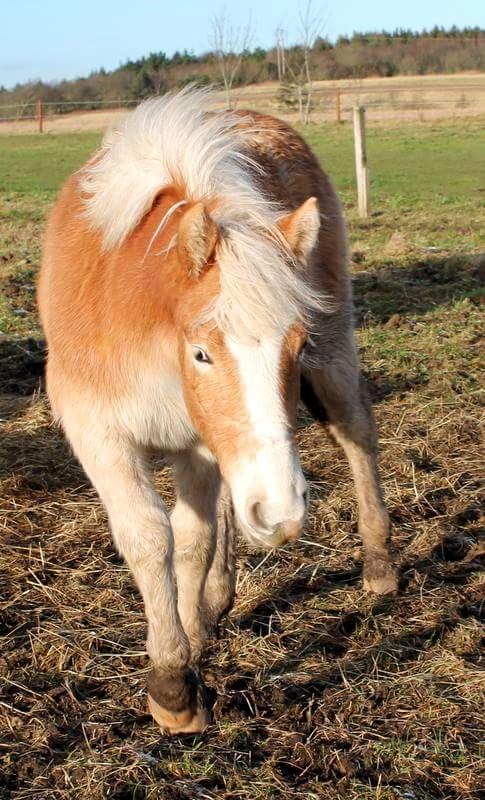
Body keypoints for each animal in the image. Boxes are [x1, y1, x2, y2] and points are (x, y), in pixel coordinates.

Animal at [36, 90, 394, 736]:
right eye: (202, 353)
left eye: (296, 345)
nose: (282, 512)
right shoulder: (101, 434)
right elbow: (150, 537)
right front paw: (177, 673)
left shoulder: (194, 443)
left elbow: (191, 539)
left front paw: (181, 671)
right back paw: (218, 596)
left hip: (335, 360)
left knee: (356, 435)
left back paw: (379, 567)